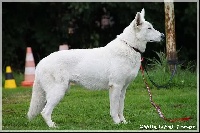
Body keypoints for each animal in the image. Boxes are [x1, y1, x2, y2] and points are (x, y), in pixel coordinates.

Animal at [27, 8, 164, 128]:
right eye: (149, 28)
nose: (163, 35)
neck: (129, 46)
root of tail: (40, 63)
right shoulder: (115, 87)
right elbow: (114, 109)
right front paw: (117, 123)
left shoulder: (123, 89)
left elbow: (120, 108)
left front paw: (123, 122)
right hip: (58, 91)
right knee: (45, 112)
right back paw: (53, 126)